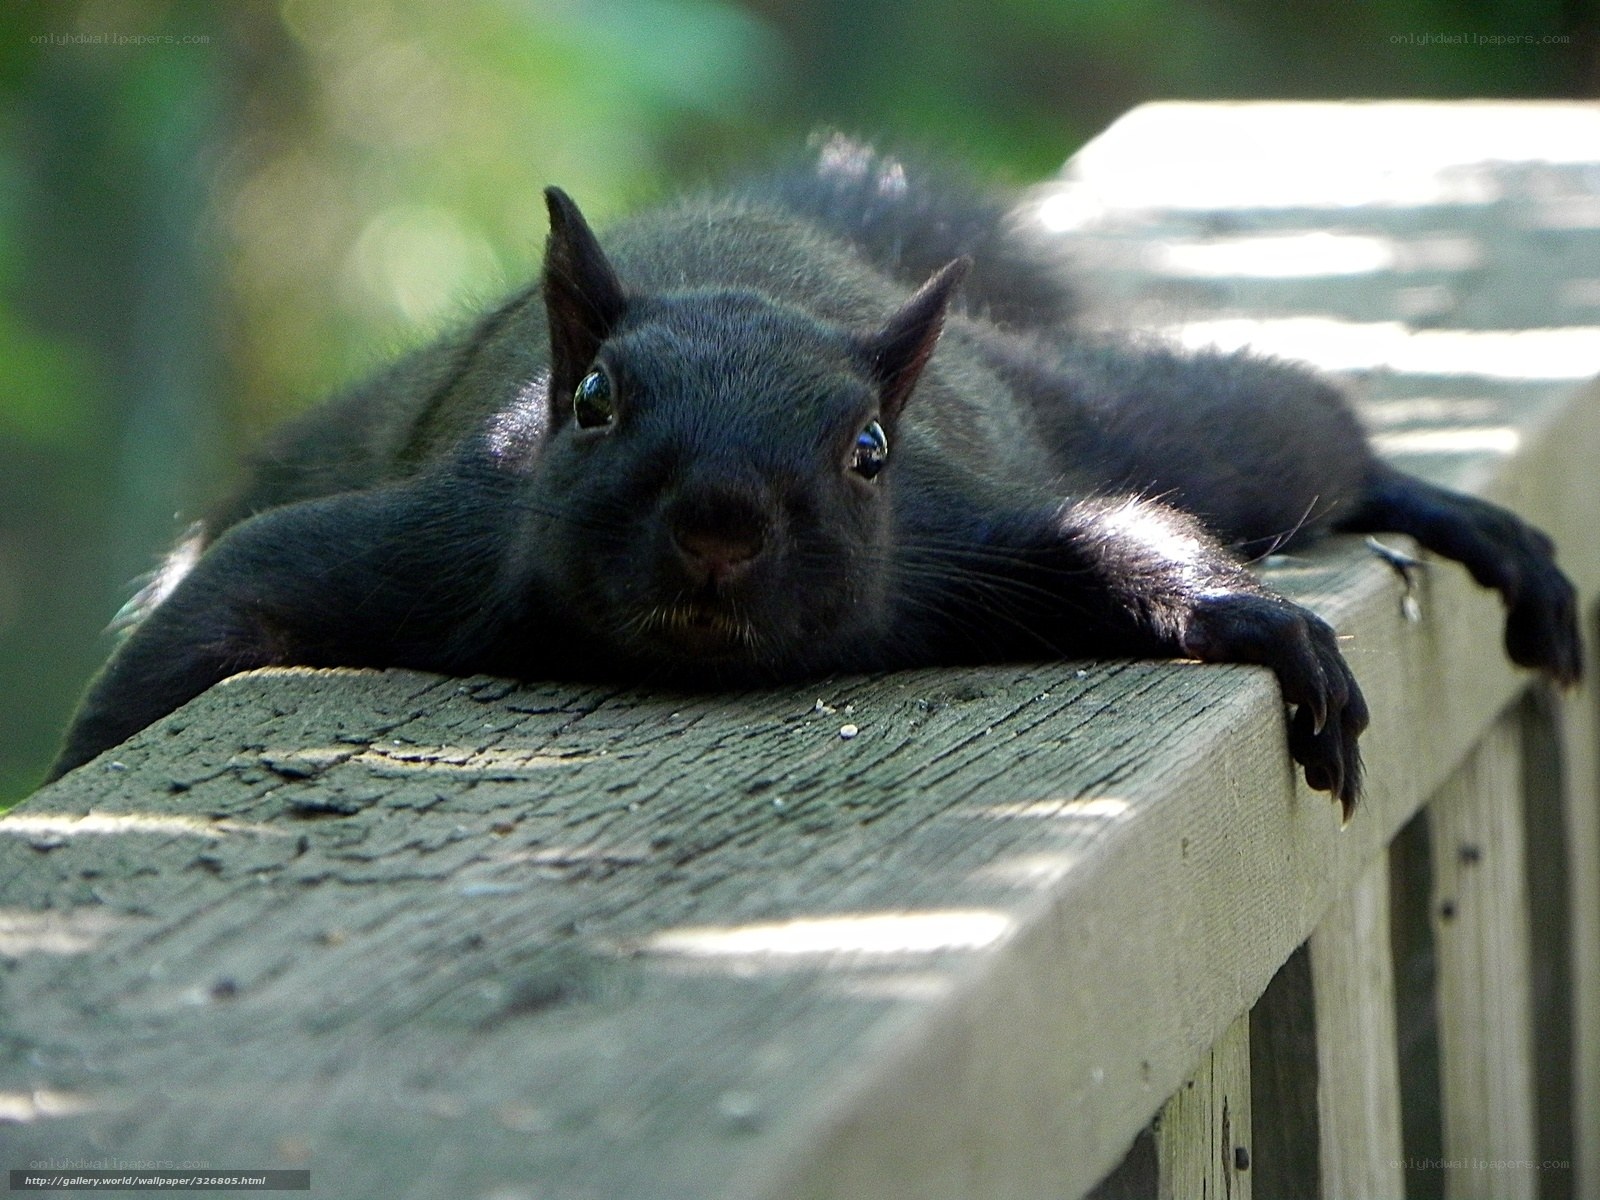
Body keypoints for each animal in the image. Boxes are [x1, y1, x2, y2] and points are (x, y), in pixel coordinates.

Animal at [50, 137, 1582, 813]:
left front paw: (1260, 621)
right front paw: (80, 770)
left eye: (867, 451)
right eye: (591, 404)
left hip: (1101, 412)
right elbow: (222, 600)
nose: (721, 521)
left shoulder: (961, 530)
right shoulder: (437, 536)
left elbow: (1119, 538)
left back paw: (1457, 518)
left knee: (1278, 436)